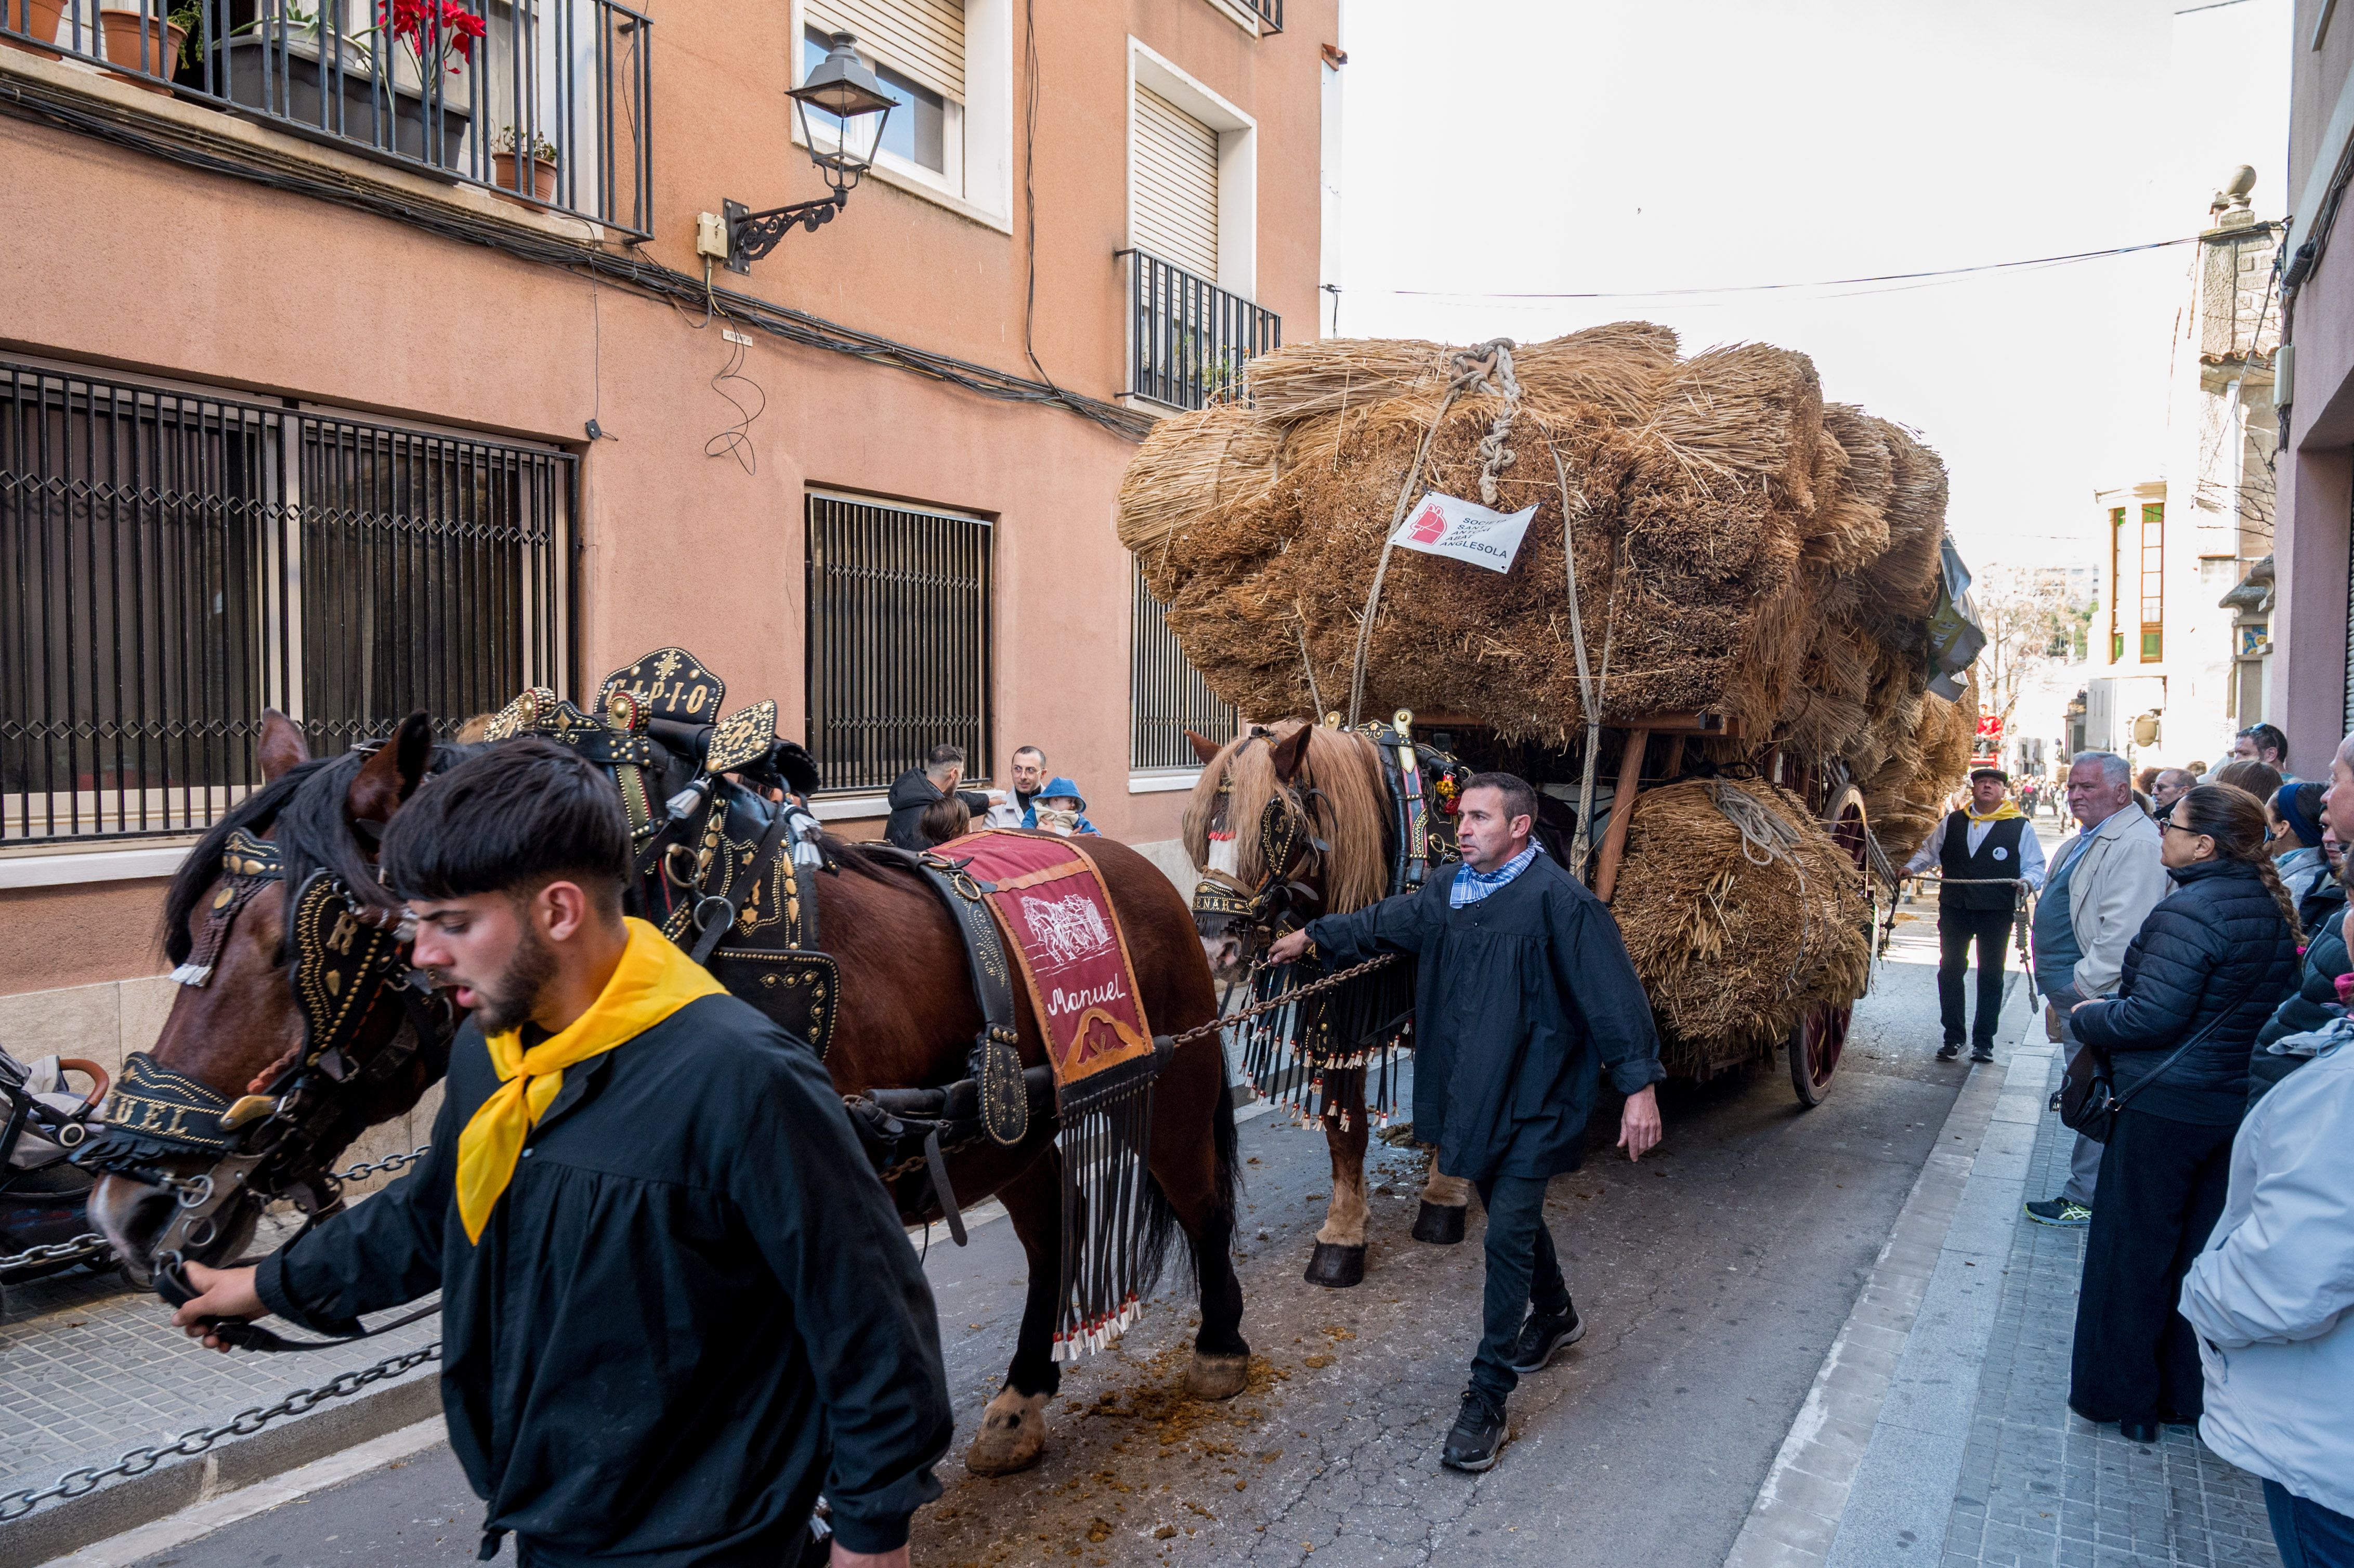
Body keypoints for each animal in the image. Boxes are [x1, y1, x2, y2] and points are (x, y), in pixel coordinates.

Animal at [87, 711, 1252, 1478]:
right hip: (1004, 1130)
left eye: (299, 946)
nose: (127, 1202)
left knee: (1200, 1201)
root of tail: (1131, 865)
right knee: (1052, 1221)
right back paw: (1021, 1395)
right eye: (187, 932)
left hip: (1181, 1075)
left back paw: (1221, 1345)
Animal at [1186, 720, 1459, 1280]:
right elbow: (1342, 1128)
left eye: (1272, 825)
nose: (1215, 949)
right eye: (1205, 825)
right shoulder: (1332, 1010)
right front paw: (1344, 1232)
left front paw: (1444, 1195)